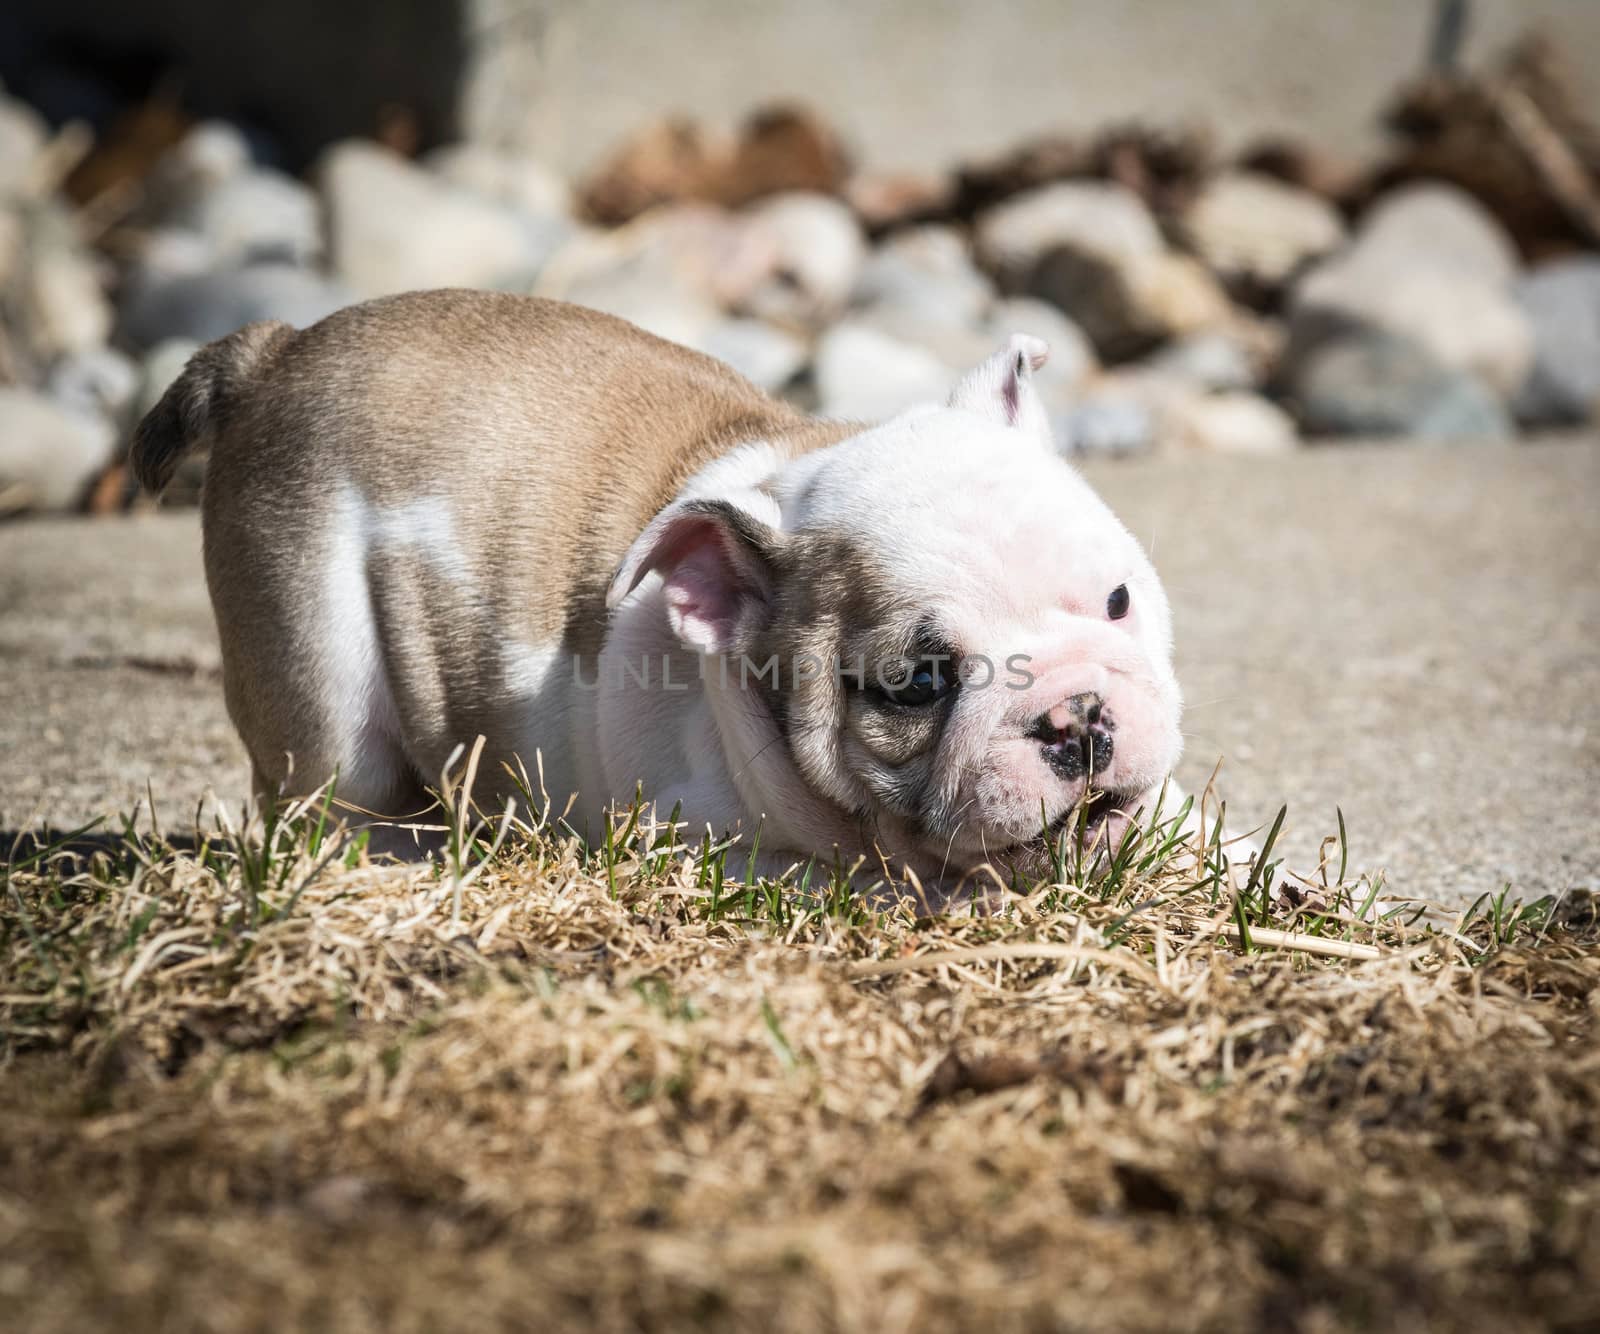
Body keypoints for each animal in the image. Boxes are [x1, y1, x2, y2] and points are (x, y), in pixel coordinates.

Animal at [134, 287, 1209, 895]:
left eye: (1119, 601)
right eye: (916, 685)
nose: (1075, 715)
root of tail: (274, 354)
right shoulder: (713, 854)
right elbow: (892, 884)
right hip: (318, 666)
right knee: (329, 803)